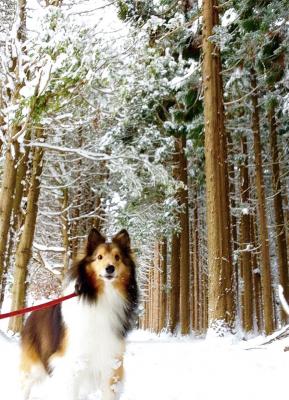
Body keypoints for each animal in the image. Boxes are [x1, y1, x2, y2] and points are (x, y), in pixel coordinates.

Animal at [19, 228, 138, 400]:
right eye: (99, 257)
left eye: (117, 257)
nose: (110, 268)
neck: (102, 297)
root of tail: (32, 314)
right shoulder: (71, 363)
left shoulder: (111, 362)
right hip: (33, 367)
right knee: (25, 386)